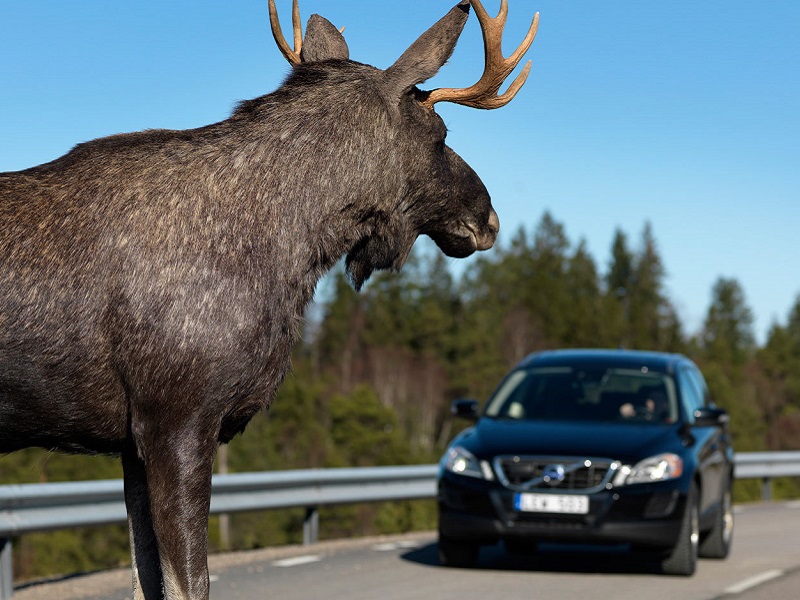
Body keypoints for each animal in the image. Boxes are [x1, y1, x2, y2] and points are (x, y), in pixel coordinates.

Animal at [1, 1, 536, 600]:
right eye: (441, 133)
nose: (489, 217)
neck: (288, 251)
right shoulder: (177, 420)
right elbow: (189, 583)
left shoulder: (130, 442)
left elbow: (147, 581)